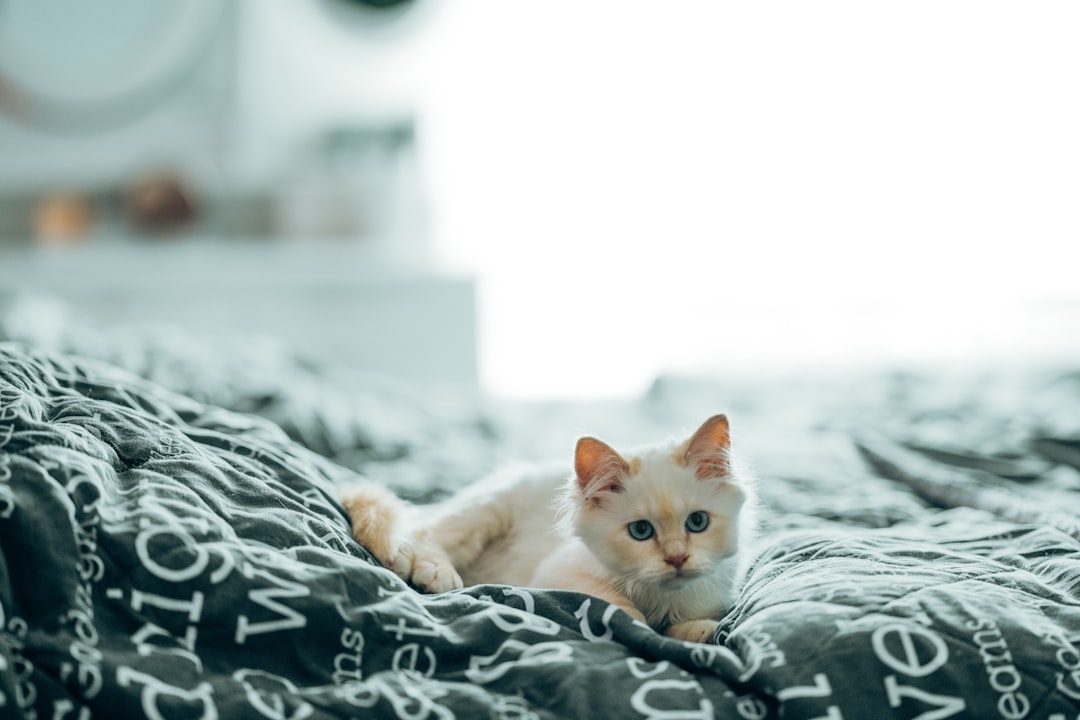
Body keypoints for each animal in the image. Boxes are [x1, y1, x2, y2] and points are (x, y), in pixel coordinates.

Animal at [341, 414, 756, 643]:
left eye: (697, 523)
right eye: (640, 531)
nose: (677, 558)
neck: (661, 599)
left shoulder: (713, 593)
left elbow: (695, 623)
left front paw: (694, 632)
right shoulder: (560, 575)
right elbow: (619, 608)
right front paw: (639, 626)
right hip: (489, 509)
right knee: (423, 533)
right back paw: (433, 572)